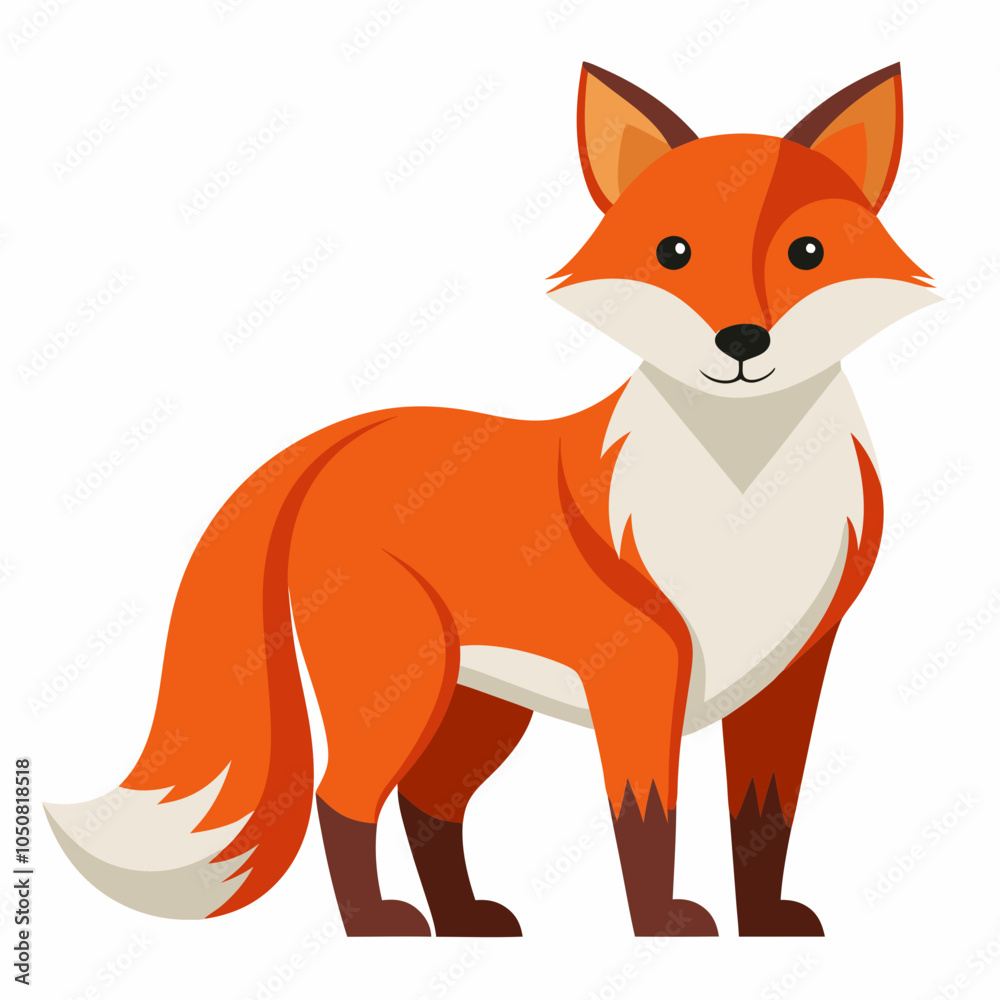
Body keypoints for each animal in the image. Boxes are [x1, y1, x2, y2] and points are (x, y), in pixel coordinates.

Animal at [46, 62, 939, 937]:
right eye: (674, 252)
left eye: (807, 252)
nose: (743, 342)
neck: (745, 493)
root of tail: (344, 436)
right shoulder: (642, 670)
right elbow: (648, 819)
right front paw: (662, 929)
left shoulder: (796, 668)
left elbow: (766, 816)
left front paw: (763, 927)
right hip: (398, 689)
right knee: (344, 799)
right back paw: (376, 925)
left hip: (475, 709)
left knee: (428, 805)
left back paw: (464, 921)